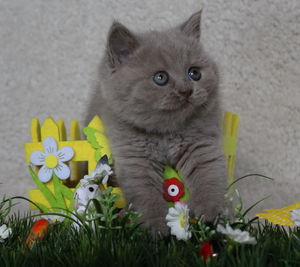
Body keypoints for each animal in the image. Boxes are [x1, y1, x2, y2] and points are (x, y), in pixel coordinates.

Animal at [88, 11, 226, 237]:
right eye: (160, 78)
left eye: (194, 73)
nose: (186, 90)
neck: (165, 133)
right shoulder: (135, 158)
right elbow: (146, 196)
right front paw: (156, 229)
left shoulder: (201, 147)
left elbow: (209, 179)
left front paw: (213, 215)